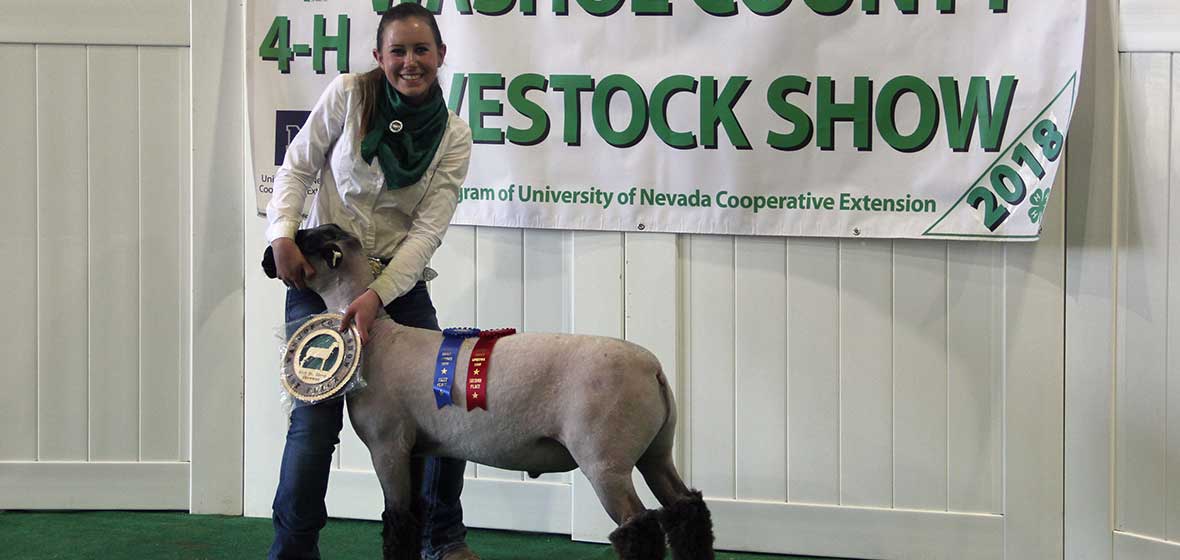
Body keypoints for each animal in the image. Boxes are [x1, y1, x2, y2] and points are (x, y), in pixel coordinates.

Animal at [263, 225, 712, 560]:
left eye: (303, 240)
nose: (269, 258)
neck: (377, 338)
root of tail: (654, 369)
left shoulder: (386, 445)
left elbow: (397, 522)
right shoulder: (414, 448)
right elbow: (413, 515)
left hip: (606, 459)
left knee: (641, 527)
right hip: (656, 451)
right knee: (687, 509)